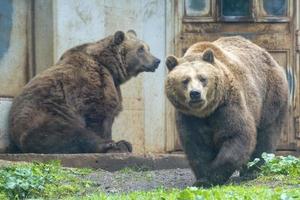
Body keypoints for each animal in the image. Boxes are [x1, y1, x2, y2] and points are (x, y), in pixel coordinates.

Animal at [8, 30, 161, 154]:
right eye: (141, 49)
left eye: (148, 48)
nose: (157, 61)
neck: (110, 67)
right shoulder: (93, 82)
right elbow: (99, 114)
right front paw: (111, 142)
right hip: (46, 116)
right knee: (71, 134)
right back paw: (113, 145)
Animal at [165, 35, 290, 186]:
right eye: (185, 80)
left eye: (203, 78)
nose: (195, 94)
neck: (206, 112)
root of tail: (268, 55)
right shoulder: (189, 116)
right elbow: (196, 145)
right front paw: (202, 179)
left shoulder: (227, 104)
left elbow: (236, 135)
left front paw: (214, 176)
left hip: (270, 95)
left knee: (266, 133)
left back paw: (252, 171)